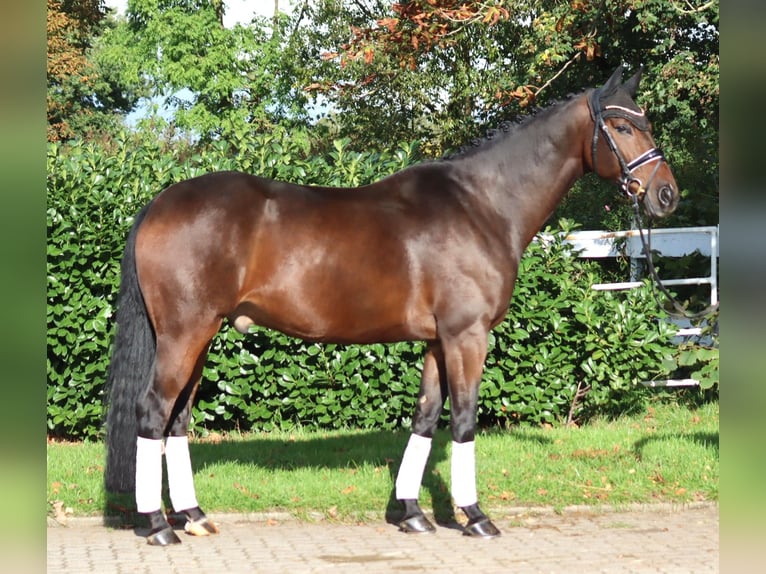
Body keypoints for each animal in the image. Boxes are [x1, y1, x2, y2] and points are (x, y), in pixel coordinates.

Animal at [104, 65, 679, 545]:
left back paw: (193, 516)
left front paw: (412, 514)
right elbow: (464, 419)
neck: (482, 204)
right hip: (185, 333)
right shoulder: (467, 336)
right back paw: (158, 526)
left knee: (178, 420)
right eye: (623, 127)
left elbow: (425, 417)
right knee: (153, 412)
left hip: (199, 335)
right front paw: (476, 516)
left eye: (647, 121)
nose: (666, 195)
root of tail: (159, 203)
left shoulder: (437, 341)